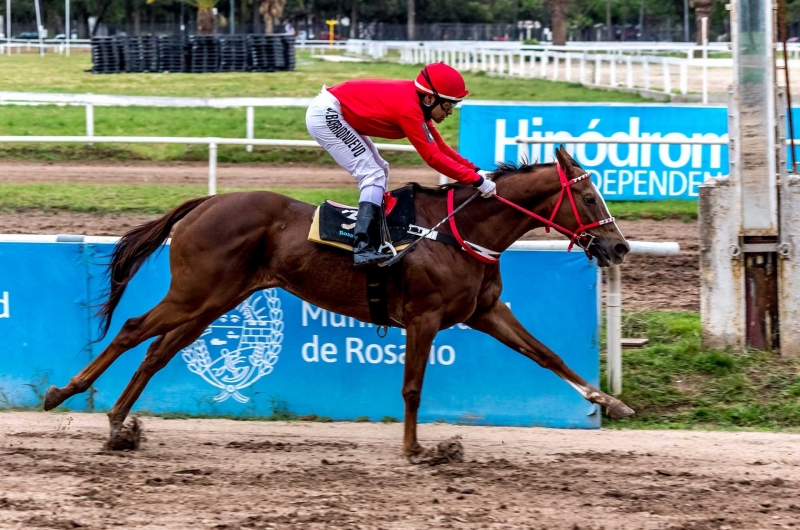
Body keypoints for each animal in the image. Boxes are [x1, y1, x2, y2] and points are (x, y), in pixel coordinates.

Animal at [43, 146, 636, 452]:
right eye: (588, 197)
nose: (619, 246)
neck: (457, 232)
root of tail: (204, 203)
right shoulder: (423, 318)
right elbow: (413, 388)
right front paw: (417, 449)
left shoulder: (484, 312)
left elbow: (547, 354)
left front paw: (610, 402)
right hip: (195, 293)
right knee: (132, 329)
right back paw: (63, 394)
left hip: (214, 302)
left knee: (157, 352)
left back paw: (119, 424)